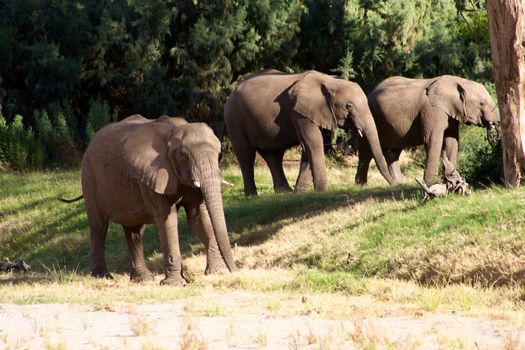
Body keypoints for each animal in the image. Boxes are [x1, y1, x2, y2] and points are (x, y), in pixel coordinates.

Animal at [63, 114, 237, 284]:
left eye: (219, 154)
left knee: (134, 231)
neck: (173, 130)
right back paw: (103, 278)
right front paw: (174, 283)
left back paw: (143, 279)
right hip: (89, 176)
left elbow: (198, 218)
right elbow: (167, 220)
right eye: (183, 155)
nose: (235, 270)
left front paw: (215, 272)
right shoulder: (149, 177)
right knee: (99, 226)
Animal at [224, 68, 392, 194]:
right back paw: (252, 196)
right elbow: (313, 143)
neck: (329, 81)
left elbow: (308, 147)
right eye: (348, 106)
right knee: (246, 154)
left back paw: (284, 192)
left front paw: (300, 193)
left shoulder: (316, 112)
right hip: (235, 117)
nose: (395, 183)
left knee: (273, 155)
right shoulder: (299, 112)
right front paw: (322, 192)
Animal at [356, 75, 500, 186]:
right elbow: (432, 139)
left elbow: (452, 141)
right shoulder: (431, 110)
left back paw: (399, 182)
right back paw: (361, 185)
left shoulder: (450, 112)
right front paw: (432, 183)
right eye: (481, 103)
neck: (457, 81)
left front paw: (453, 179)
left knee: (393, 152)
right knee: (366, 151)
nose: (492, 131)